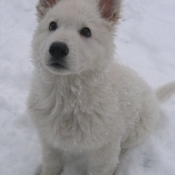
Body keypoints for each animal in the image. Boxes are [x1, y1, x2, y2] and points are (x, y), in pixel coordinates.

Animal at [27, 0, 175, 175]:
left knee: (124, 149)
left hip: (137, 131)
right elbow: (51, 164)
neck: (69, 95)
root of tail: (153, 94)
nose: (57, 48)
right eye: (52, 25)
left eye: (86, 31)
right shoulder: (49, 140)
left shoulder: (104, 150)